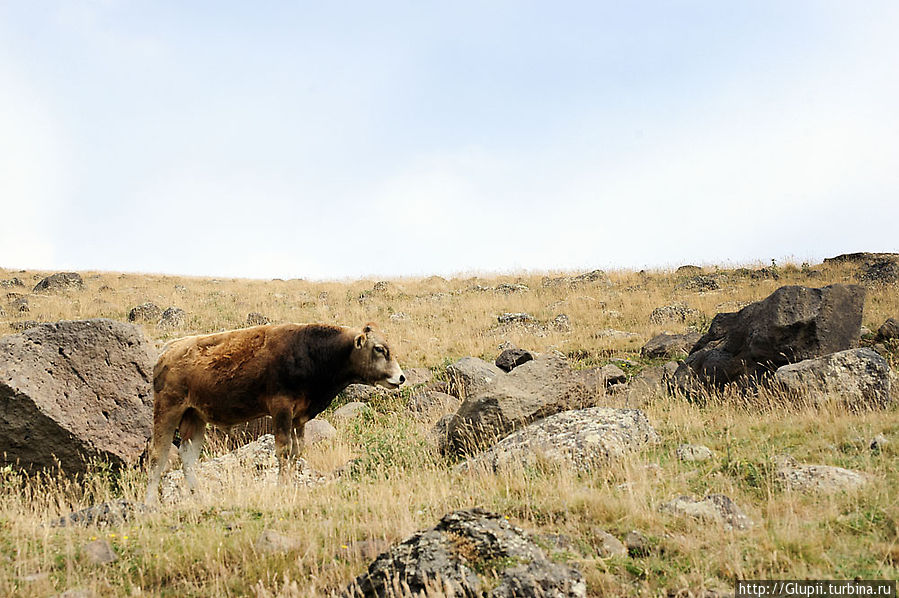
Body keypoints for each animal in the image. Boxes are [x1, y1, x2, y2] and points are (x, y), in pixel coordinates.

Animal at [146, 324, 406, 506]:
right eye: (379, 349)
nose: (401, 377)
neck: (312, 352)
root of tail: (169, 350)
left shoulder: (299, 416)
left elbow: (296, 450)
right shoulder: (280, 409)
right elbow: (283, 450)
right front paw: (282, 486)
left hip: (195, 417)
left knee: (188, 457)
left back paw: (199, 497)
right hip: (167, 410)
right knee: (158, 456)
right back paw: (149, 504)